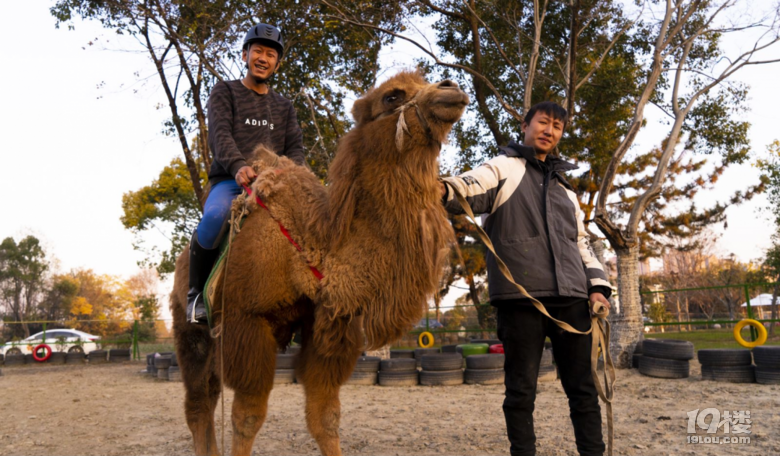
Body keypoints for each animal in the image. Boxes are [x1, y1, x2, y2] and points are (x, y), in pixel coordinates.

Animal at [171, 69, 470, 454]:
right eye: (392, 96)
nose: (452, 89)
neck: (311, 250)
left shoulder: (326, 327)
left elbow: (325, 416)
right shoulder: (246, 322)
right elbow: (247, 417)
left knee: (206, 398)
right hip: (191, 331)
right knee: (198, 401)